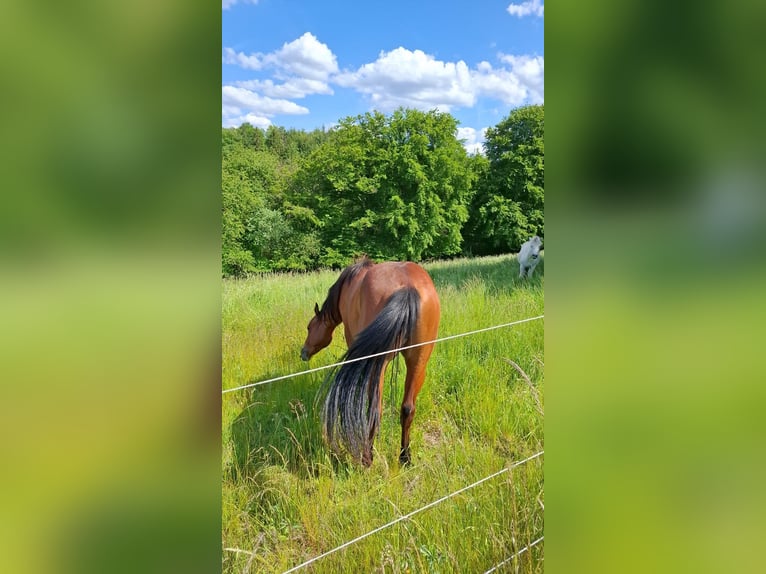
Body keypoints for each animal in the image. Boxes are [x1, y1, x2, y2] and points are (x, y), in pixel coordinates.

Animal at [301, 256, 441, 467]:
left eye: (310, 327)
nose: (304, 352)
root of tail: (408, 288)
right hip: (418, 362)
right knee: (407, 409)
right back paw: (404, 457)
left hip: (378, 364)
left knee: (375, 410)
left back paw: (367, 457)